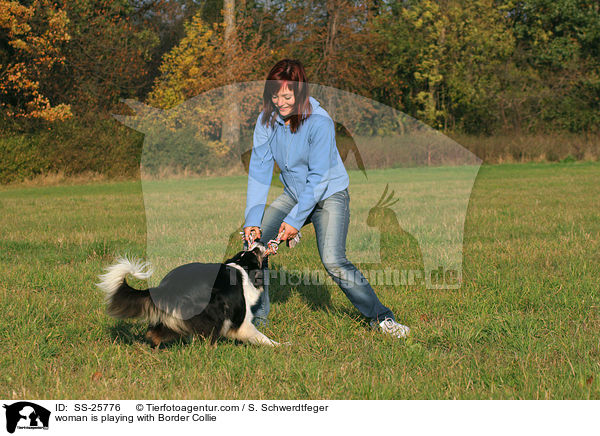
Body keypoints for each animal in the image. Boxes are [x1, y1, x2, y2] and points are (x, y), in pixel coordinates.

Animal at [95, 242, 278, 348]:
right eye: (255, 252)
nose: (260, 243)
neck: (241, 268)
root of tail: (167, 286)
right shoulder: (242, 320)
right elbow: (258, 335)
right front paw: (278, 345)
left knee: (156, 332)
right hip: (209, 310)